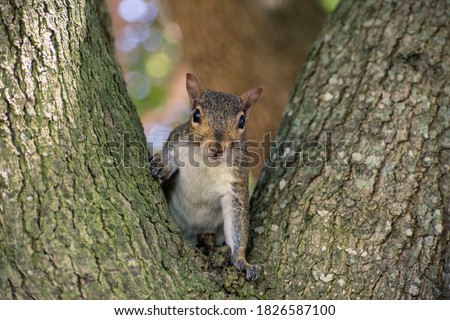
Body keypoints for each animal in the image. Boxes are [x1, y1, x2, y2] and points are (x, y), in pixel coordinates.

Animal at [149, 73, 264, 280]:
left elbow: (238, 220)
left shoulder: (236, 182)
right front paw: (162, 166)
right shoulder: (178, 139)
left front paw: (242, 261)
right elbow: (169, 154)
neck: (206, 163)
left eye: (242, 122)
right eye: (196, 115)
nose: (216, 147)